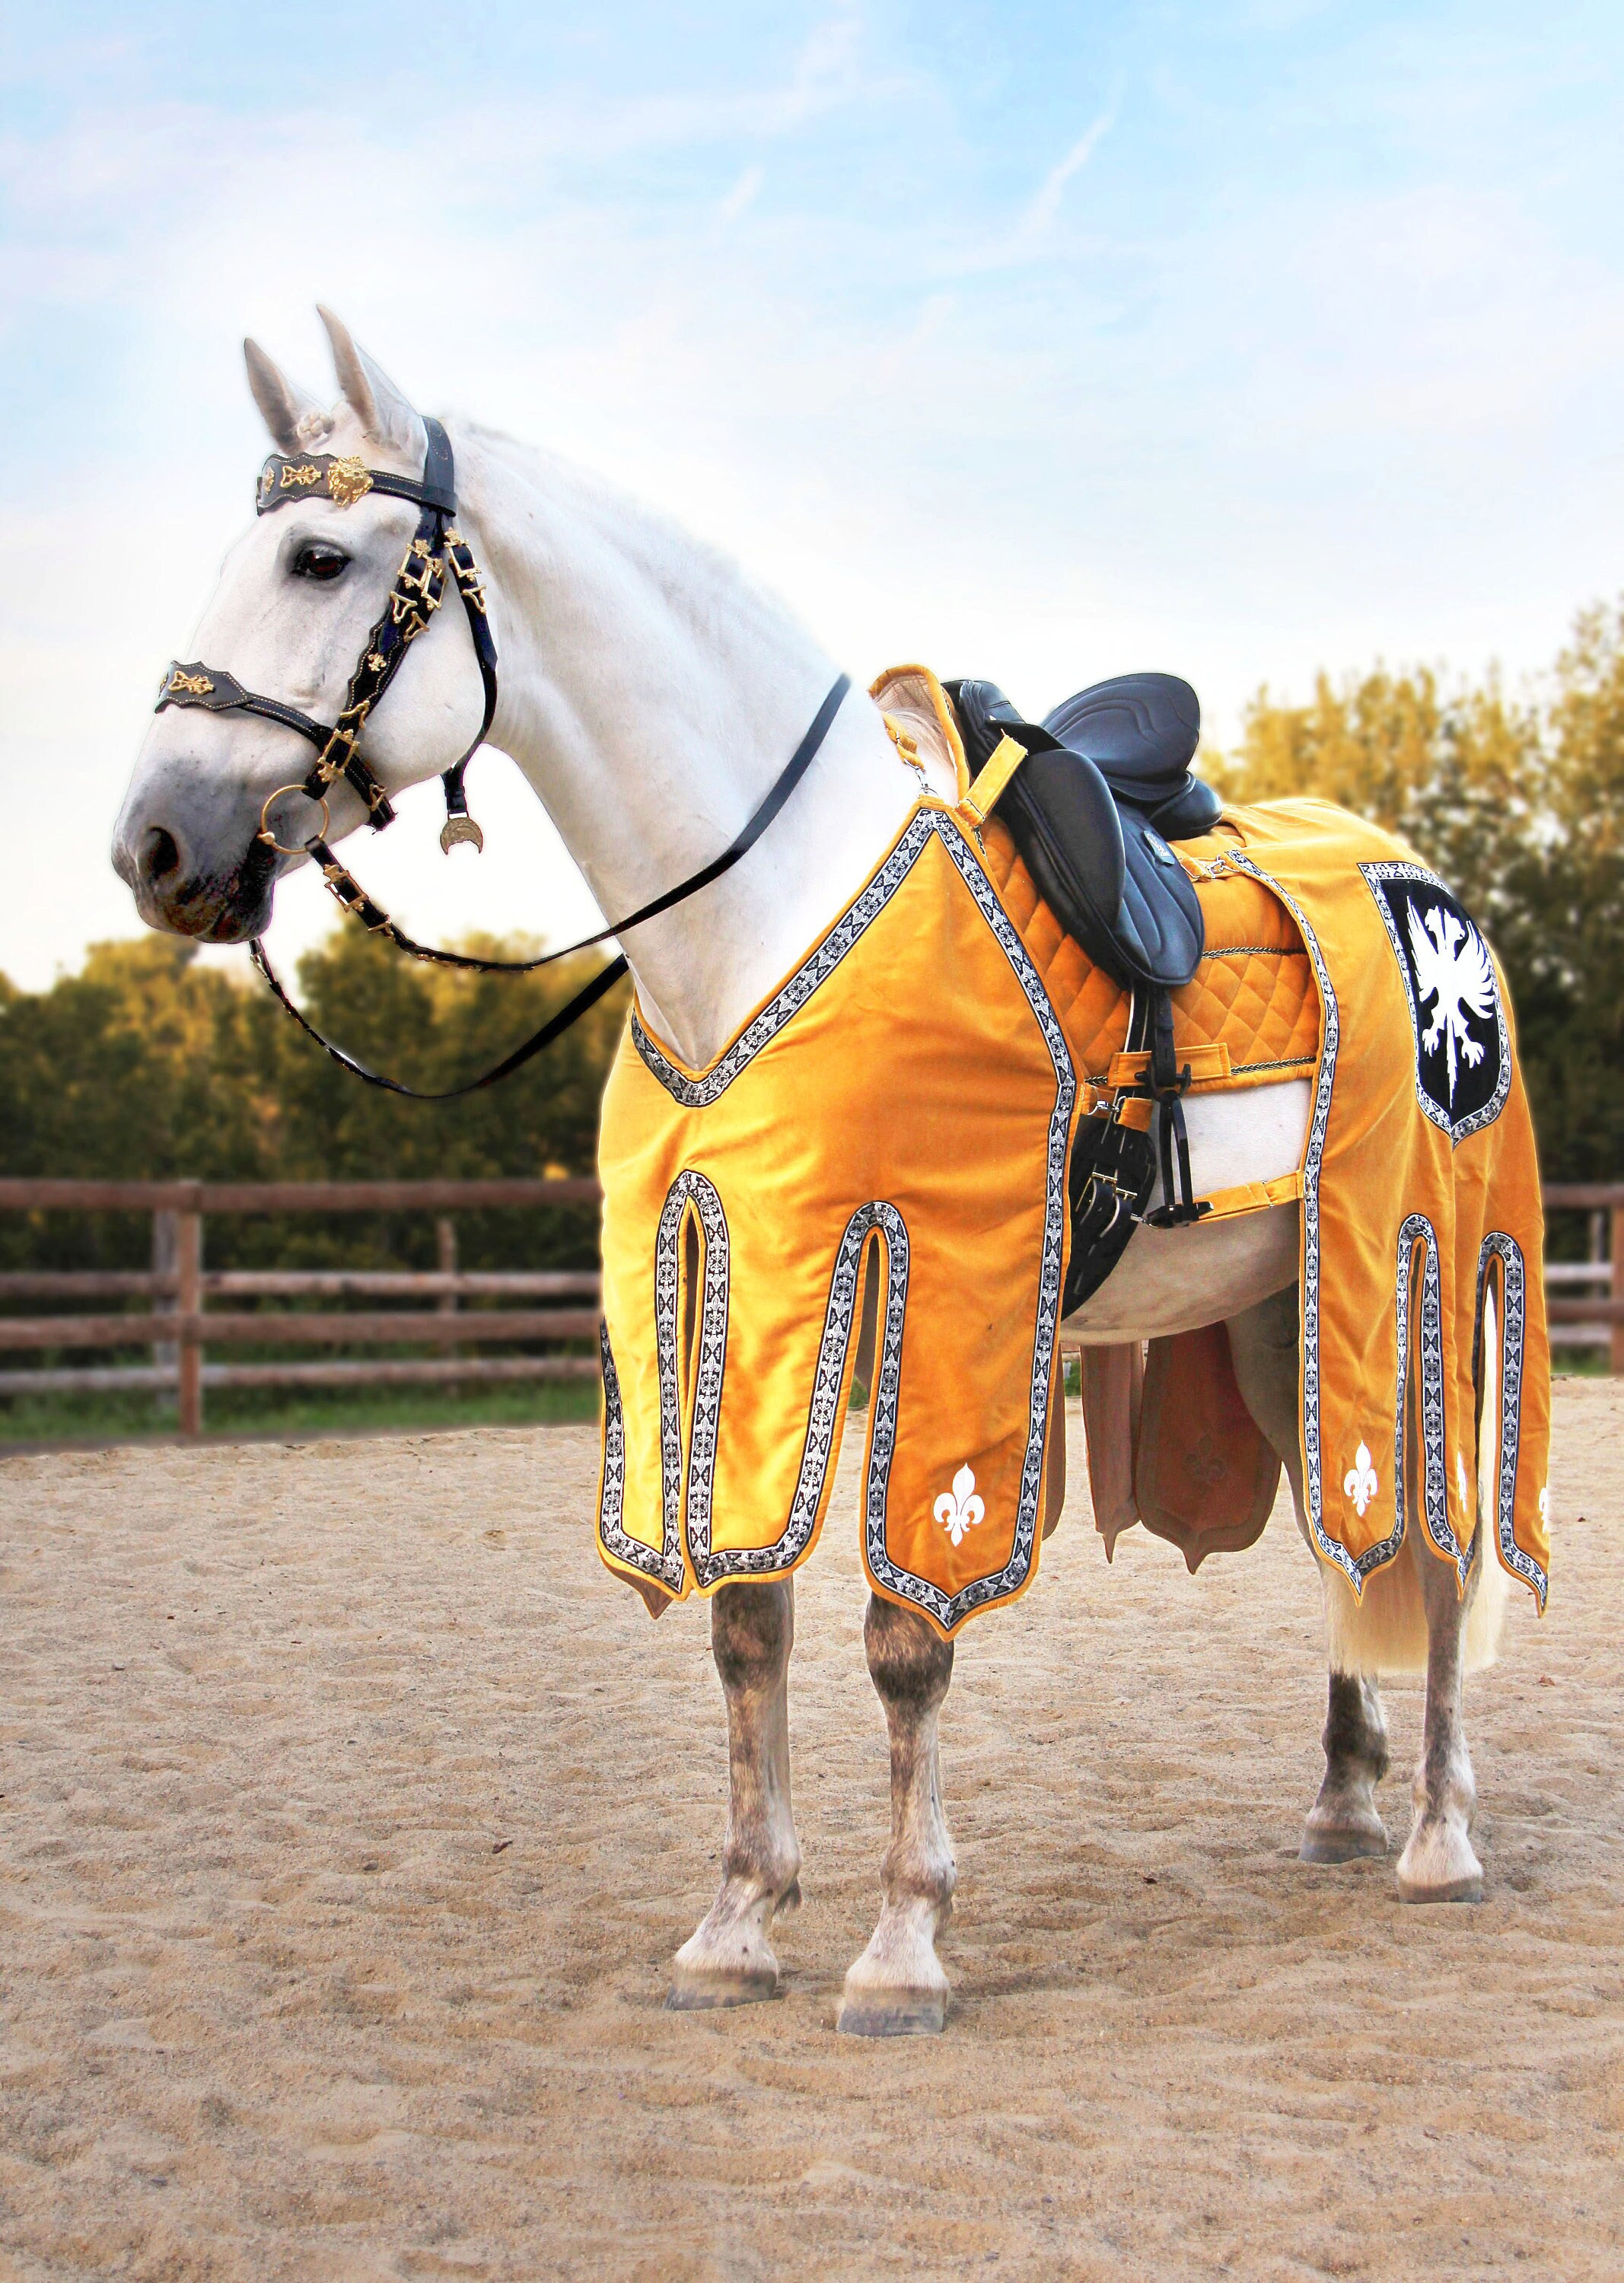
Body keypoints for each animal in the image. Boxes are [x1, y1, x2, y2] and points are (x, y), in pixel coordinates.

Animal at [113, 311, 1508, 2036]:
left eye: (317, 557)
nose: (154, 846)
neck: (763, 899)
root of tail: (1425, 888)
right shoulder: (743, 1274)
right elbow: (743, 1620)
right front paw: (736, 1921)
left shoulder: (942, 1278)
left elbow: (900, 1637)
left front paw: (901, 1944)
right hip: (1280, 1309)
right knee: (1344, 1537)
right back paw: (1338, 1802)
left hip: (1418, 1271)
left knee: (1438, 1543)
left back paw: (1439, 1838)